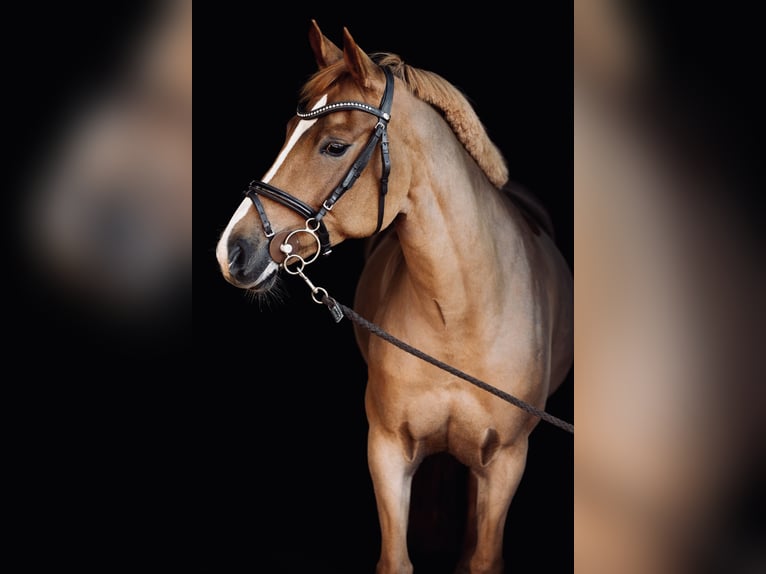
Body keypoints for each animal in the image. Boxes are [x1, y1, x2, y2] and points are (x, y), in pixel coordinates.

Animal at [215, 20, 573, 574]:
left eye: (334, 146)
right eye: (287, 131)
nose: (233, 250)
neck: (459, 316)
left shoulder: (507, 462)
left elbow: (483, 558)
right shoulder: (386, 450)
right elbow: (396, 560)